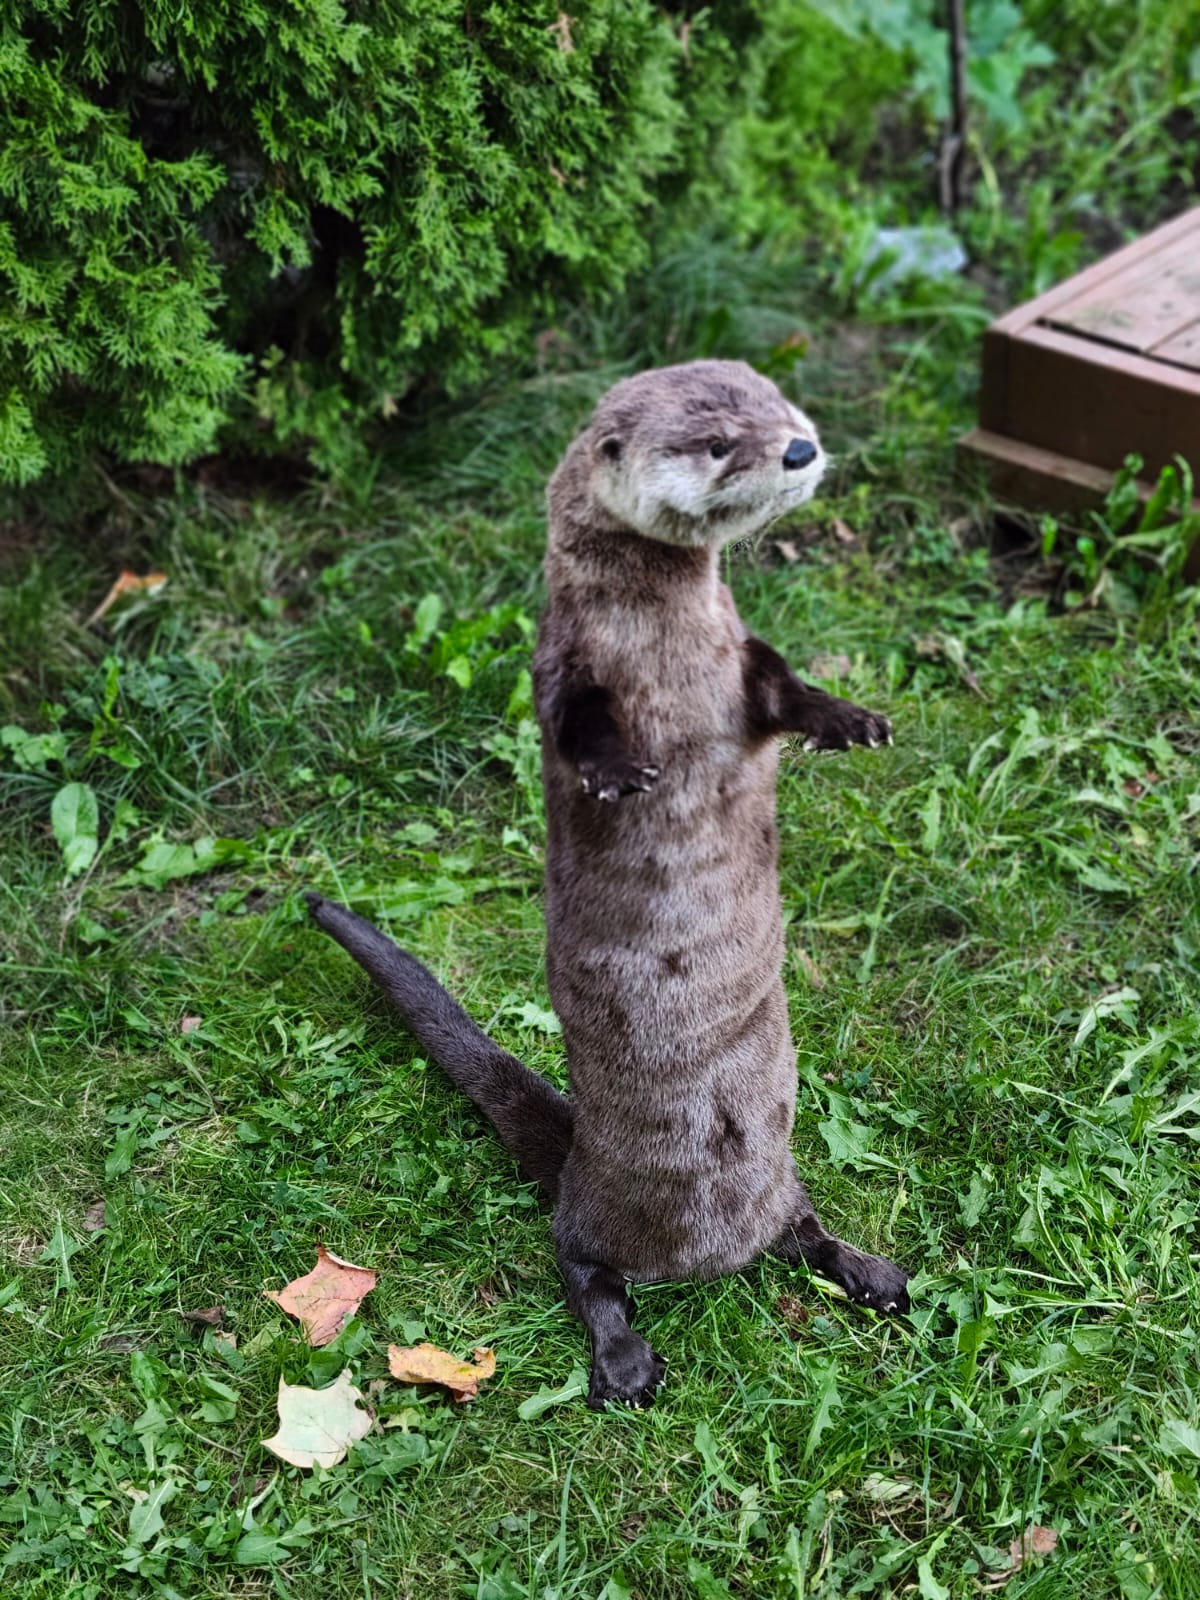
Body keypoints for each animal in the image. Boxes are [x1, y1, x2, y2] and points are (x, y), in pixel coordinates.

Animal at [306, 359, 910, 1408]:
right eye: (718, 442)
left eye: (782, 410)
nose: (801, 448)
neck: (667, 640)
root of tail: (708, 1261)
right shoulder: (563, 661)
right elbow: (576, 722)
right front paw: (620, 770)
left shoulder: (745, 657)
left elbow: (784, 687)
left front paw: (852, 720)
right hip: (589, 1207)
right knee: (585, 1273)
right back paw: (624, 1362)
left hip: (781, 1177)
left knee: (805, 1232)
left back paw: (873, 1273)